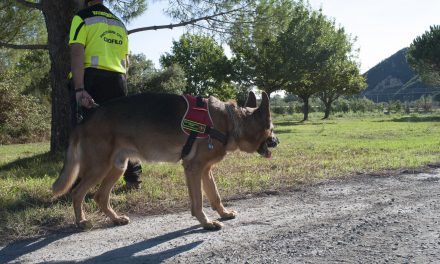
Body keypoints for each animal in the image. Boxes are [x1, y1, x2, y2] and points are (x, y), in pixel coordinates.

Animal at [52, 92, 278, 230]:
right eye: (272, 129)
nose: (278, 141)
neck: (231, 121)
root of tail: (83, 120)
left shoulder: (205, 171)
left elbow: (215, 196)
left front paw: (223, 213)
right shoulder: (194, 168)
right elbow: (199, 202)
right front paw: (206, 223)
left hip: (117, 167)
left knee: (100, 197)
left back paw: (115, 219)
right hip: (99, 168)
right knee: (77, 193)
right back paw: (81, 221)